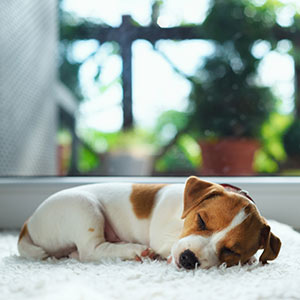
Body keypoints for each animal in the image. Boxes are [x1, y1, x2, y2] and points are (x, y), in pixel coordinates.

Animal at [18, 176, 282, 270]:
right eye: (201, 220)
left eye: (231, 251)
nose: (188, 259)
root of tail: (27, 224)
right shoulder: (164, 238)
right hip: (84, 208)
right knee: (90, 251)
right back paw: (135, 250)